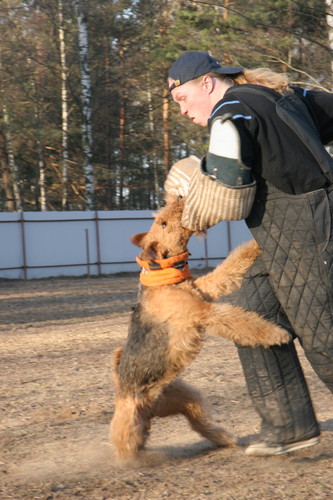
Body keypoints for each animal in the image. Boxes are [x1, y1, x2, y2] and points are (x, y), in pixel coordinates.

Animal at [109, 193, 290, 458]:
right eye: (163, 223)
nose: (180, 197)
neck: (163, 279)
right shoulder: (205, 313)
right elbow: (239, 320)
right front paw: (276, 334)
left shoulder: (205, 289)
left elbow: (226, 270)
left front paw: (254, 246)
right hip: (129, 422)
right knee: (126, 446)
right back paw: (139, 458)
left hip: (185, 400)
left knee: (201, 424)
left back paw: (226, 439)